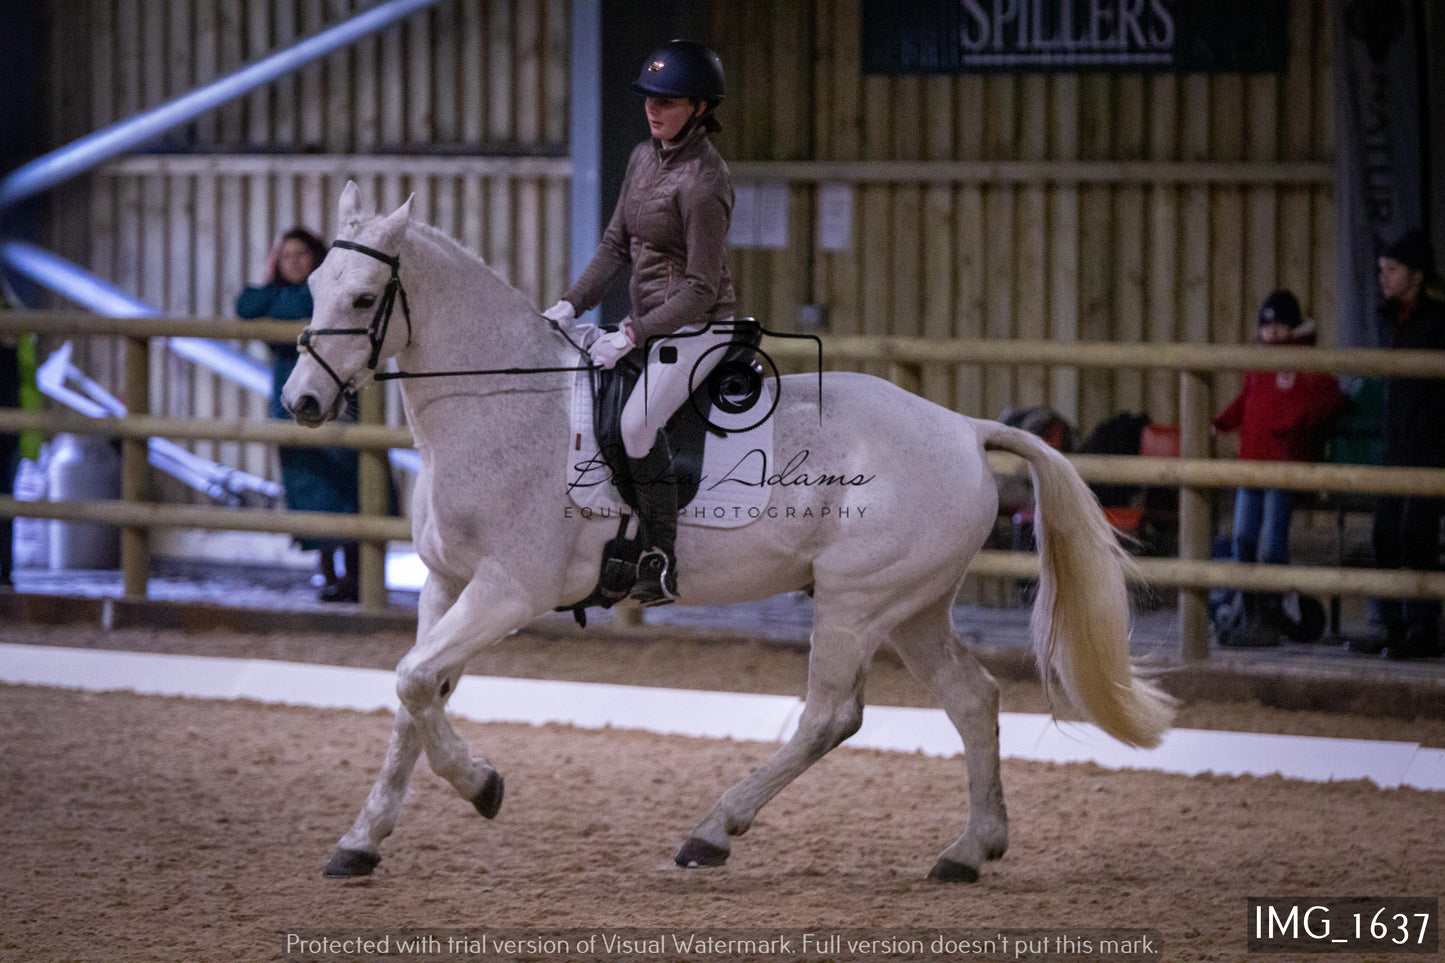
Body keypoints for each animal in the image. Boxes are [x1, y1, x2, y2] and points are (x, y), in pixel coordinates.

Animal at [281, 183, 1173, 879]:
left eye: (363, 298)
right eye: (315, 284)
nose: (302, 402)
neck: (500, 405)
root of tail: (961, 426)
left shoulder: (508, 589)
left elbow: (411, 681)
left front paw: (483, 786)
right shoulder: (445, 582)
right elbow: (413, 694)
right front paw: (360, 841)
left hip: (855, 600)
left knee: (829, 715)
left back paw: (711, 832)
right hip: (912, 608)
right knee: (972, 699)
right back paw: (968, 848)